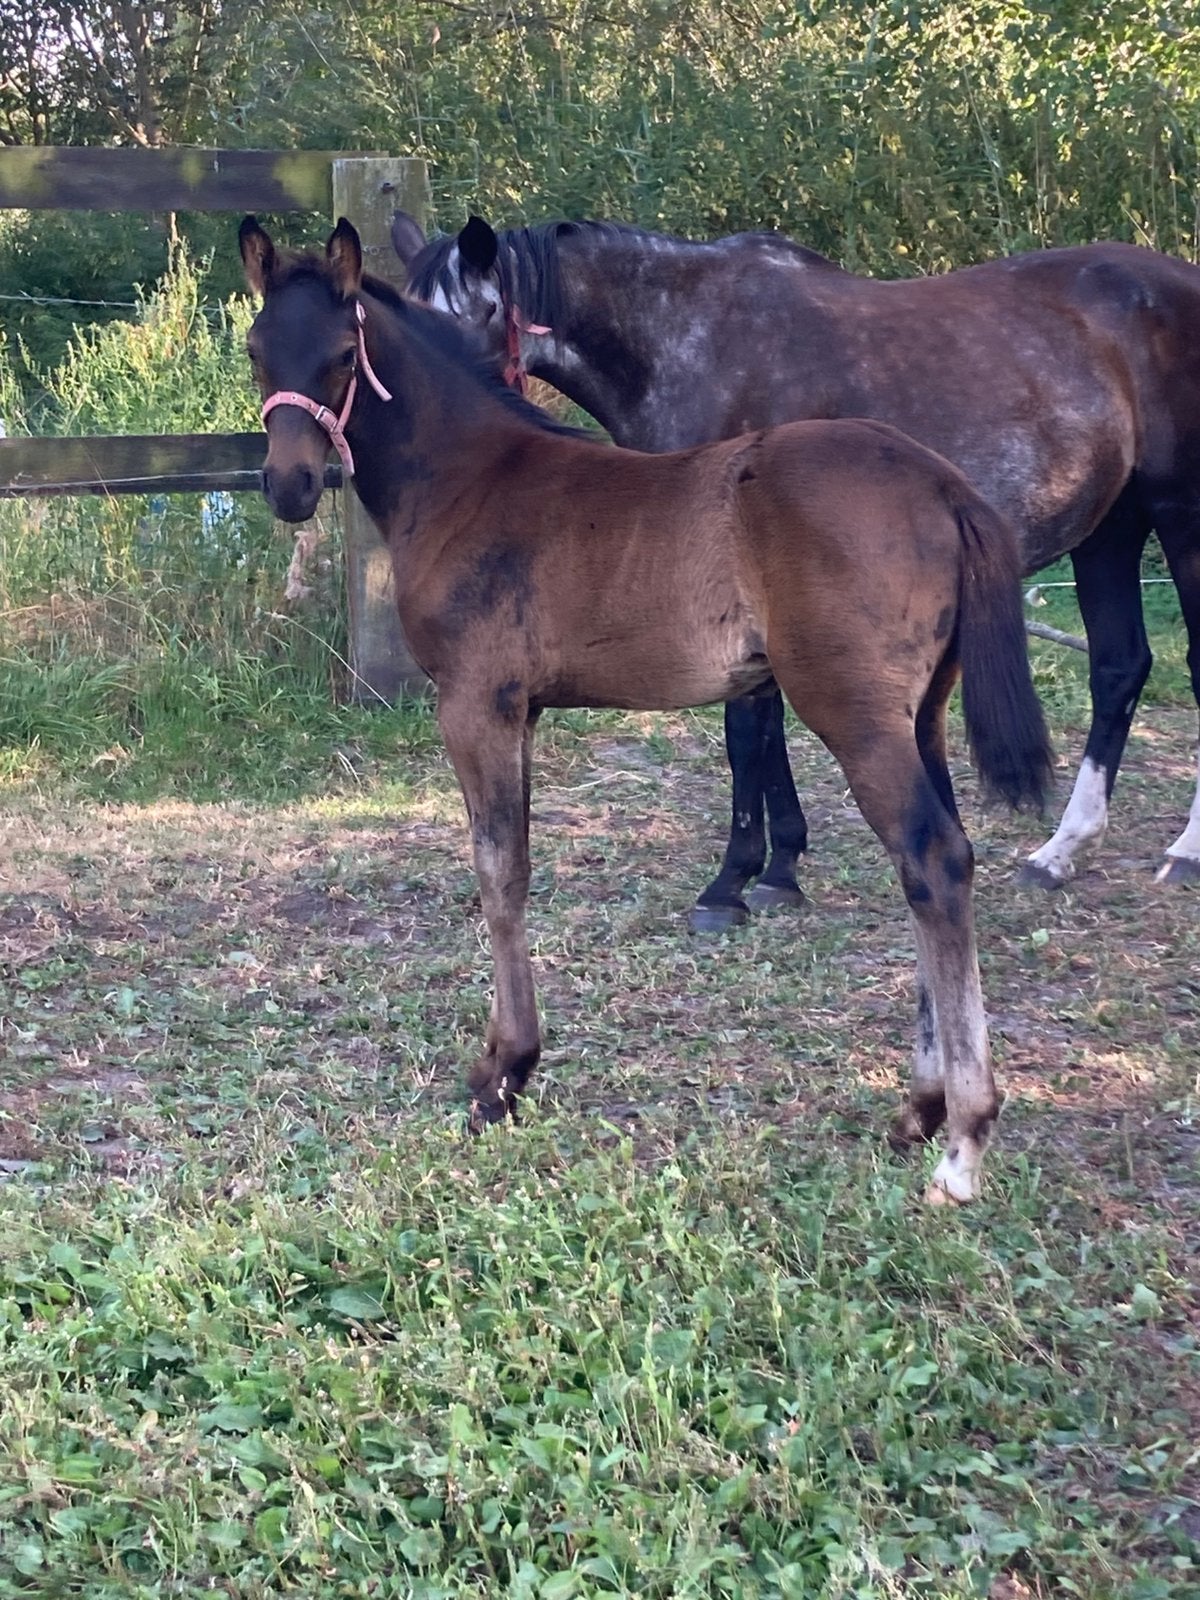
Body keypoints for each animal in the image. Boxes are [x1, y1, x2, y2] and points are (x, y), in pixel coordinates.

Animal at [240, 214, 1052, 1204]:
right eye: (256, 349)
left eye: (340, 355)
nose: (288, 485)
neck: (470, 476)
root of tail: (939, 481)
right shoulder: (524, 710)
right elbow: (513, 863)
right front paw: (511, 1066)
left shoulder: (476, 703)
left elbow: (499, 870)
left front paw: (502, 1074)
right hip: (921, 714)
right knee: (942, 860)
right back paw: (919, 1108)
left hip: (854, 713)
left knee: (930, 859)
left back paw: (962, 1143)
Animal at [394, 210, 1200, 925]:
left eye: (465, 319)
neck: (690, 342)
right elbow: (762, 719)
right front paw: (780, 867)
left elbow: (744, 731)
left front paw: (732, 882)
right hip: (1109, 528)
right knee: (1119, 667)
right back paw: (1060, 852)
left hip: (1179, 521)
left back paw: (1183, 852)